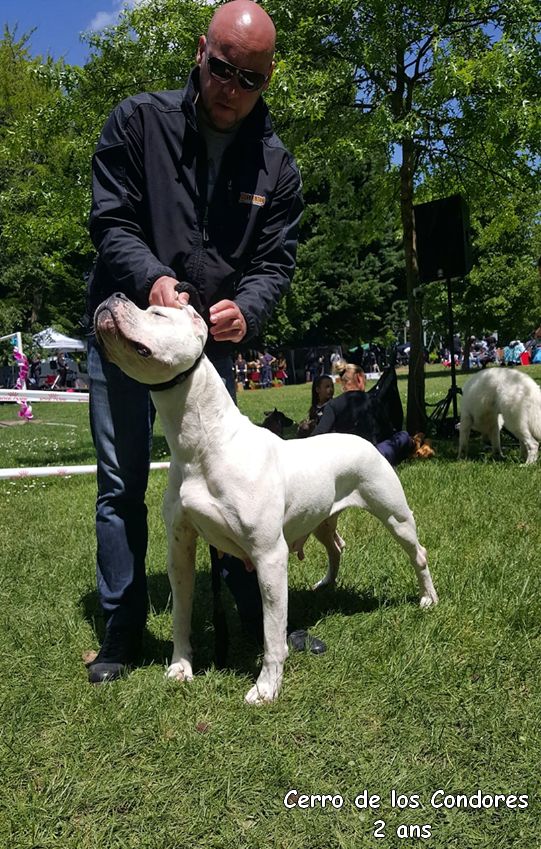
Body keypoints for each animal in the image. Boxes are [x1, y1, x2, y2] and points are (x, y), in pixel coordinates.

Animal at [95, 294, 436, 704]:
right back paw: (326, 584)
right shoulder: (180, 549)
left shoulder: (269, 555)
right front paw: (180, 667)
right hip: (321, 517)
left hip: (394, 514)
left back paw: (428, 599)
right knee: (336, 545)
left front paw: (266, 687)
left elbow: (273, 631)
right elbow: (181, 613)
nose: (113, 297)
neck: (202, 444)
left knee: (418, 553)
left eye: (157, 313)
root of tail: (361, 438)